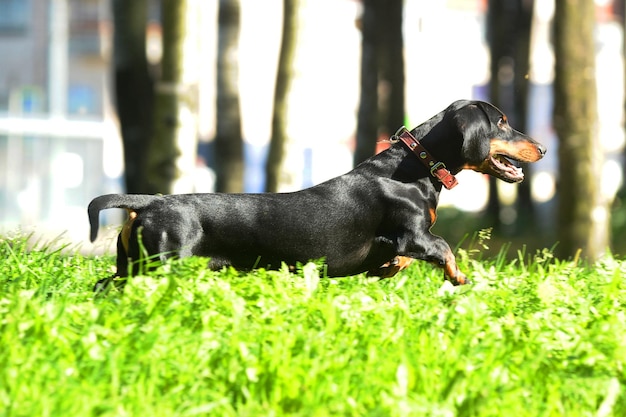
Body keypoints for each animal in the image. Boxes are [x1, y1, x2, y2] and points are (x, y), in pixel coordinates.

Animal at [89, 100, 544, 290]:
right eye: (502, 122)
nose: (541, 148)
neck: (414, 167)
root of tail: (149, 203)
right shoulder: (415, 233)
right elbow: (444, 247)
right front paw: (459, 277)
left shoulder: (408, 242)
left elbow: (400, 260)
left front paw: (387, 268)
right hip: (160, 265)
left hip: (130, 266)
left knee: (103, 284)